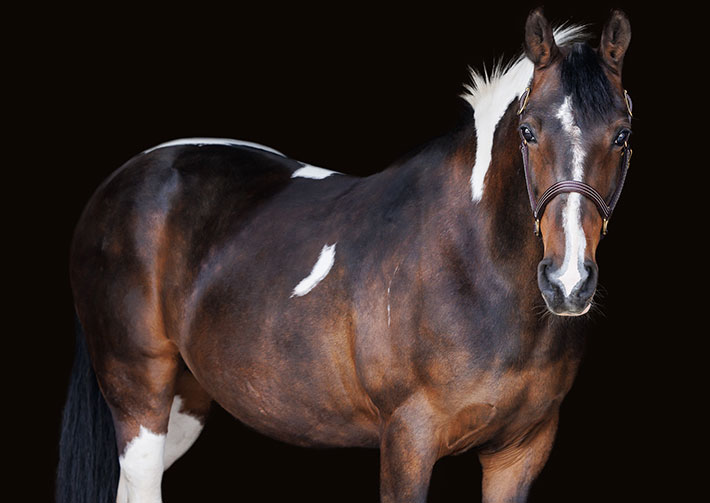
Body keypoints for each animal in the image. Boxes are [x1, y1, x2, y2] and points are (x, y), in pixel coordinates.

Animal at [57, 8, 633, 503]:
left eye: (623, 135)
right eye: (528, 130)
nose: (567, 282)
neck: (471, 263)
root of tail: (121, 181)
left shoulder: (519, 452)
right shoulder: (407, 442)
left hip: (186, 402)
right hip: (139, 397)